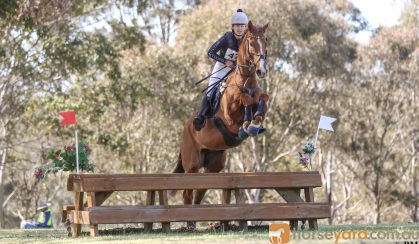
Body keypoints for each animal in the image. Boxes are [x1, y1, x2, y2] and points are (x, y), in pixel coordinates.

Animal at [173, 21, 270, 227]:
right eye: (251, 43)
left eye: (266, 41)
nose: (261, 71)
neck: (245, 80)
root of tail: (185, 128)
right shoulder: (229, 118)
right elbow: (245, 101)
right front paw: (246, 126)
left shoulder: (258, 96)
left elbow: (262, 99)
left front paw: (255, 124)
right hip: (192, 164)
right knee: (187, 192)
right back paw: (189, 223)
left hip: (214, 165)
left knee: (200, 191)